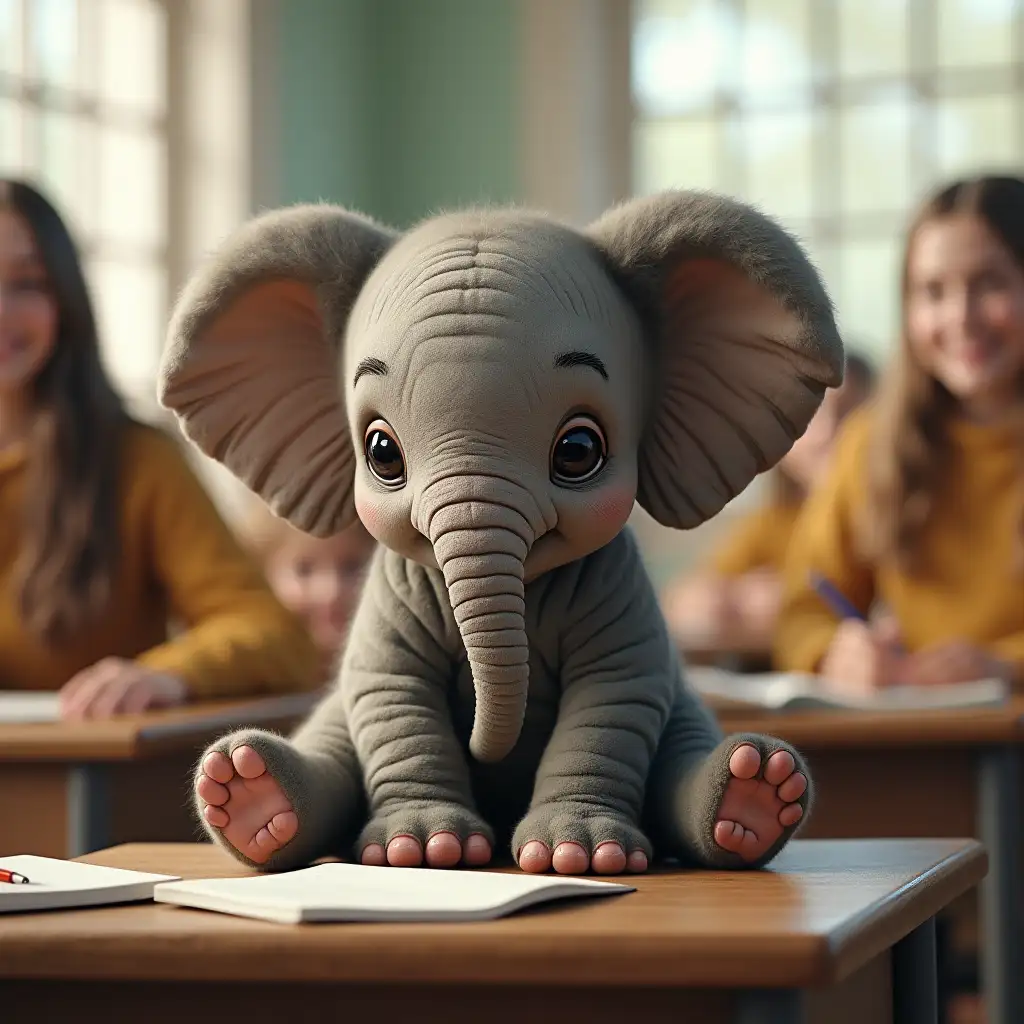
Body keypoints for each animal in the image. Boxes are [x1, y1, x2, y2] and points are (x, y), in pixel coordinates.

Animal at [157, 190, 839, 872]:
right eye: (381, 452)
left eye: (579, 451)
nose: (487, 748)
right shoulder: (399, 589)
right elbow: (393, 692)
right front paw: (424, 850)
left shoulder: (616, 587)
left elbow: (612, 696)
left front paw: (577, 853)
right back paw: (250, 796)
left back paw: (753, 796)